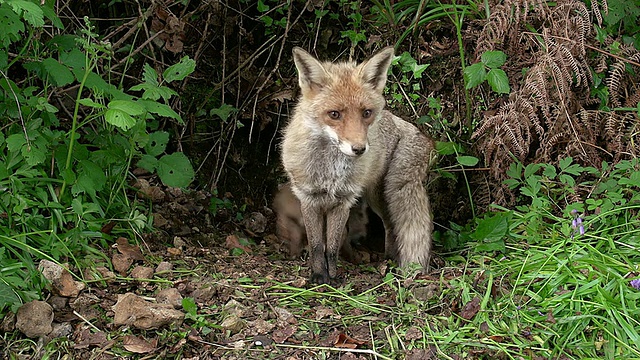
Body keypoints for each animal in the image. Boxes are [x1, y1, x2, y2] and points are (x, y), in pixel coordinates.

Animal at [282, 45, 436, 284]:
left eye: (366, 113)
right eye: (334, 114)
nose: (360, 149)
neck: (331, 170)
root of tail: (420, 133)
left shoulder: (343, 200)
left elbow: (332, 247)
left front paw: (332, 278)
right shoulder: (309, 197)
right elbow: (317, 245)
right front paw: (318, 276)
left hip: (381, 194)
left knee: (390, 225)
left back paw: (389, 259)